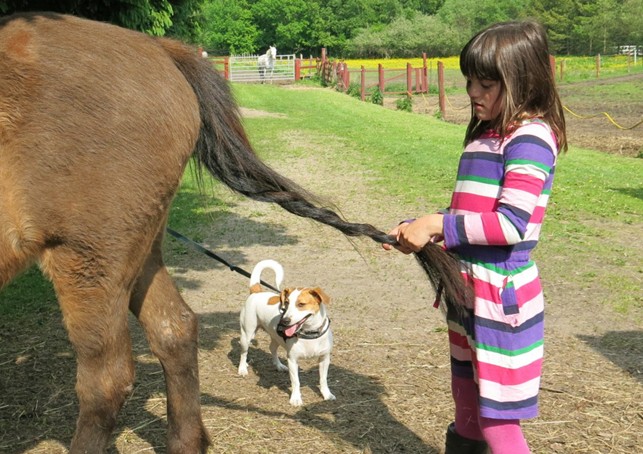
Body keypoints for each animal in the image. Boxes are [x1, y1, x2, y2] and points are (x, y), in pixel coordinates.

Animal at [238, 260, 338, 406]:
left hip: (275, 336)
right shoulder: (293, 360)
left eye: (301, 304)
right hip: (247, 334)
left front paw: (327, 394)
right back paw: (242, 368)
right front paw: (296, 398)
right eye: (286, 303)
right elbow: (296, 382)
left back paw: (279, 365)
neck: (309, 333)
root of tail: (256, 292)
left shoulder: (324, 358)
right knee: (243, 353)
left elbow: (323, 380)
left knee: (272, 348)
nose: (285, 320)